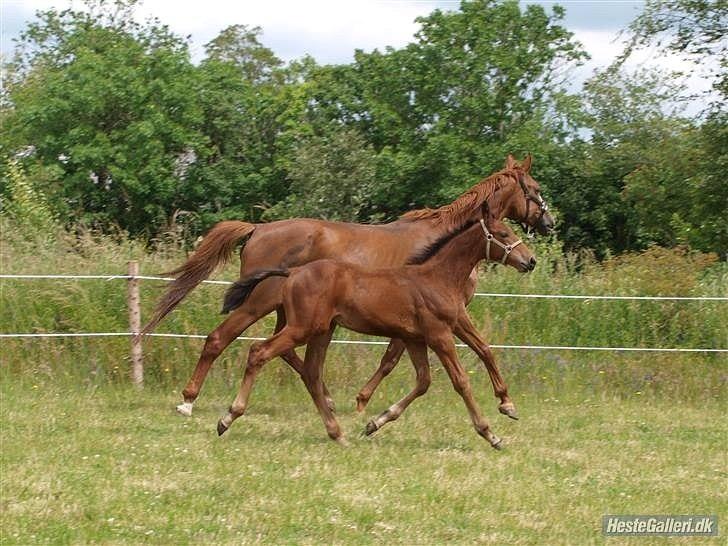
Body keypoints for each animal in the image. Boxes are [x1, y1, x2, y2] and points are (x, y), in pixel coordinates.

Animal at [141, 153, 552, 416]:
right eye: (534, 187)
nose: (549, 224)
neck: (441, 245)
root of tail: (257, 228)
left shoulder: (431, 319)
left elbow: (471, 351)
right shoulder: (440, 317)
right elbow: (408, 359)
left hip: (292, 312)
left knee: (287, 352)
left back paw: (324, 399)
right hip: (260, 302)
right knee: (221, 339)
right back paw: (188, 401)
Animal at [216, 208, 536, 446]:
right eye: (504, 234)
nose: (530, 261)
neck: (437, 278)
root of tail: (293, 271)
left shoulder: (415, 339)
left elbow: (424, 381)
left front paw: (374, 422)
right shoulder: (439, 335)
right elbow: (460, 381)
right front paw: (490, 433)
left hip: (320, 331)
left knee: (311, 372)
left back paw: (338, 434)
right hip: (302, 328)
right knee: (259, 352)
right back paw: (227, 417)